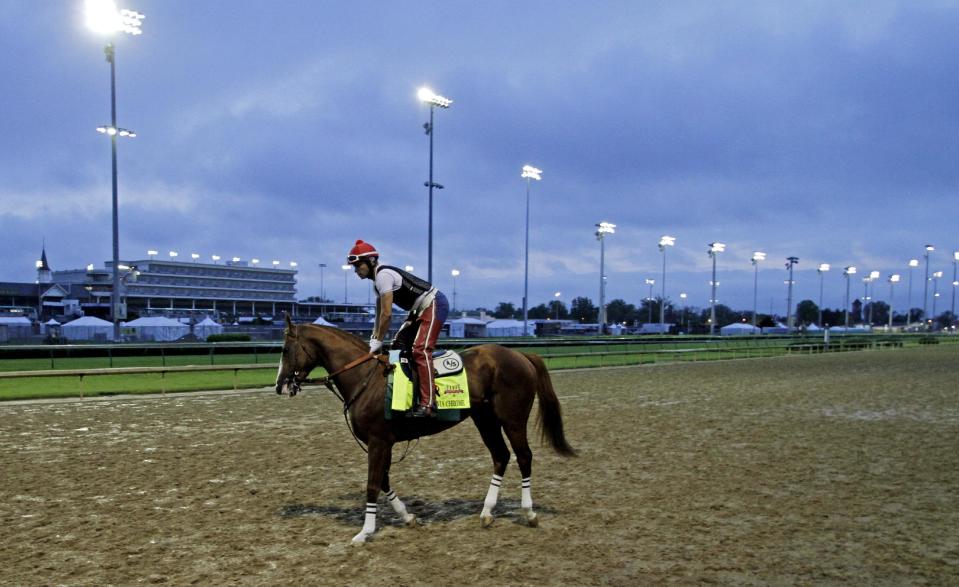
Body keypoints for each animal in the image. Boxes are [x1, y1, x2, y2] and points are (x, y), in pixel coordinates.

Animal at [278, 316, 576, 544]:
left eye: (285, 350)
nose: (280, 385)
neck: (366, 377)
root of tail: (520, 355)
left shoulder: (378, 442)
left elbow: (373, 484)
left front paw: (365, 532)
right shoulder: (383, 443)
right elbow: (384, 481)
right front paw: (407, 517)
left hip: (513, 420)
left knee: (524, 457)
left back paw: (529, 512)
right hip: (485, 420)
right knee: (501, 456)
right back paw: (487, 512)